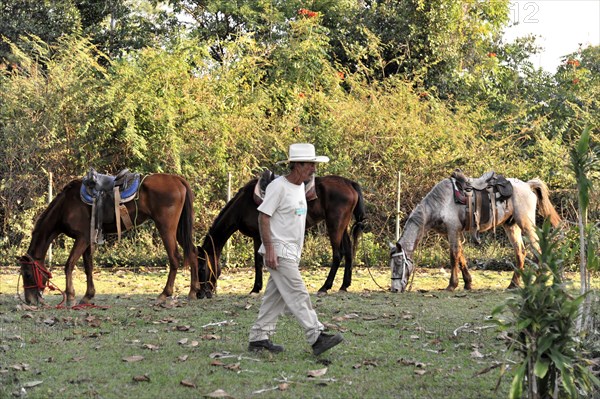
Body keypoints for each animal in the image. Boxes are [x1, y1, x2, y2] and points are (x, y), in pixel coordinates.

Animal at [17, 174, 207, 306]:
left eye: (28, 274)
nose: (30, 301)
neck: (66, 206)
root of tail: (177, 179)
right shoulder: (88, 240)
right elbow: (88, 266)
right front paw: (88, 296)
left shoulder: (82, 238)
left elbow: (69, 265)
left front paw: (70, 296)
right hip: (179, 230)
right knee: (192, 253)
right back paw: (192, 291)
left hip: (166, 228)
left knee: (174, 258)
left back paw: (164, 294)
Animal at [198, 176, 366, 296]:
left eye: (201, 268)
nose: (200, 293)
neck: (243, 205)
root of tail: (349, 183)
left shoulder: (258, 236)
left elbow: (258, 261)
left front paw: (255, 288)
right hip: (342, 226)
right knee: (349, 252)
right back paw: (344, 285)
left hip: (335, 225)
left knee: (338, 254)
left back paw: (325, 287)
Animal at [390, 175, 564, 294]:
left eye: (398, 263)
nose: (394, 289)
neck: (440, 203)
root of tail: (528, 185)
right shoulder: (454, 233)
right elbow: (461, 256)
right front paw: (468, 283)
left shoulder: (453, 230)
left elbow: (454, 256)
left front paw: (452, 285)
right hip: (512, 226)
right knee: (520, 252)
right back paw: (513, 284)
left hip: (526, 224)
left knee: (538, 250)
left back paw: (538, 282)